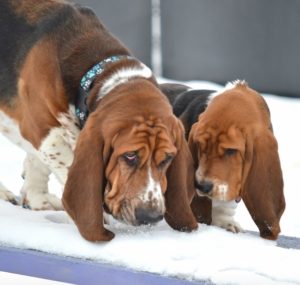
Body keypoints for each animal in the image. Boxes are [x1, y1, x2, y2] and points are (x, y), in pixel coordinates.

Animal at [0, 0, 199, 241]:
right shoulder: (43, 130)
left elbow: (37, 162)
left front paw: (37, 197)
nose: (151, 217)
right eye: (130, 156)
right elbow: (65, 162)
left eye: (168, 158)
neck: (95, 74)